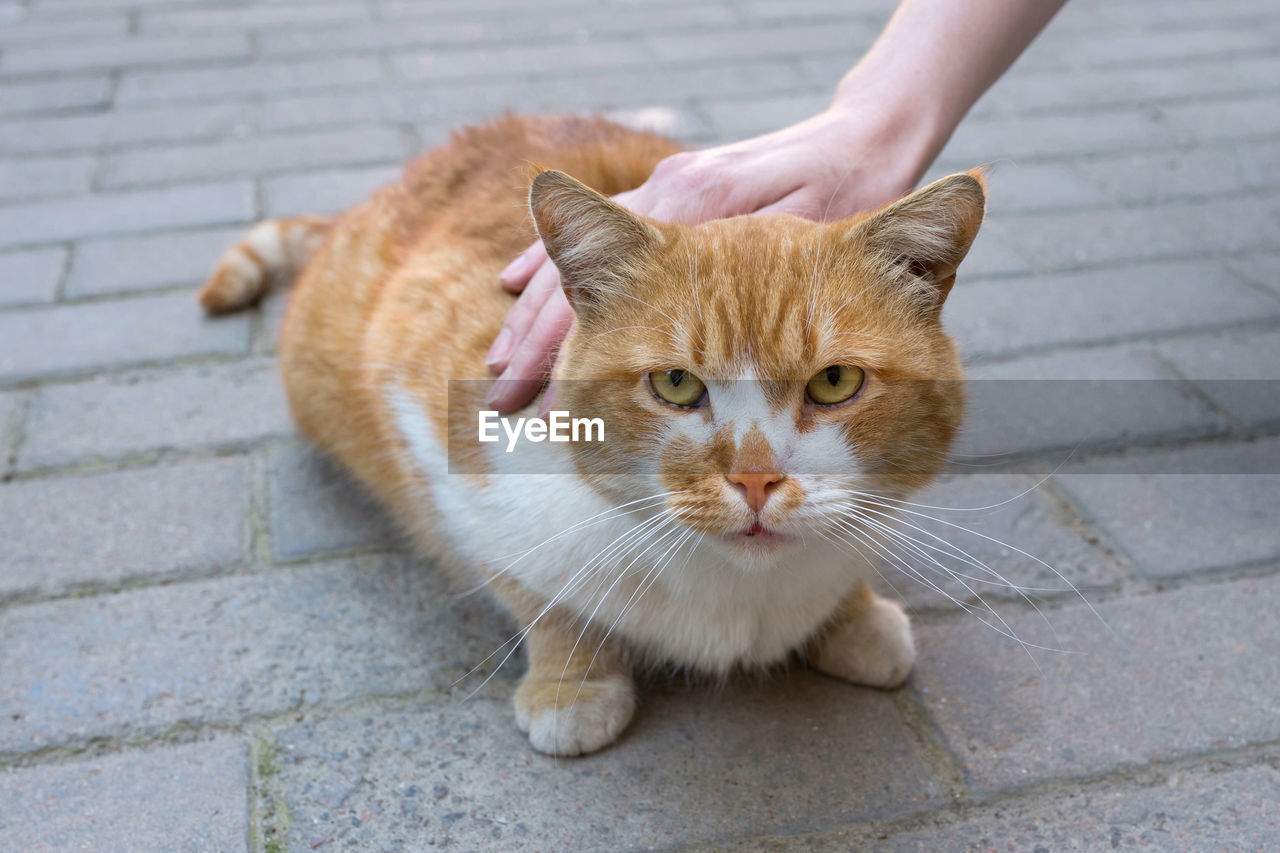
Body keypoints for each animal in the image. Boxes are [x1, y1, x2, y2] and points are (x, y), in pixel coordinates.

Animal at [197, 114, 977, 758]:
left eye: (836, 382)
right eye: (675, 384)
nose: (755, 479)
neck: (737, 592)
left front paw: (854, 617)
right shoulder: (442, 443)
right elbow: (537, 592)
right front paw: (573, 681)